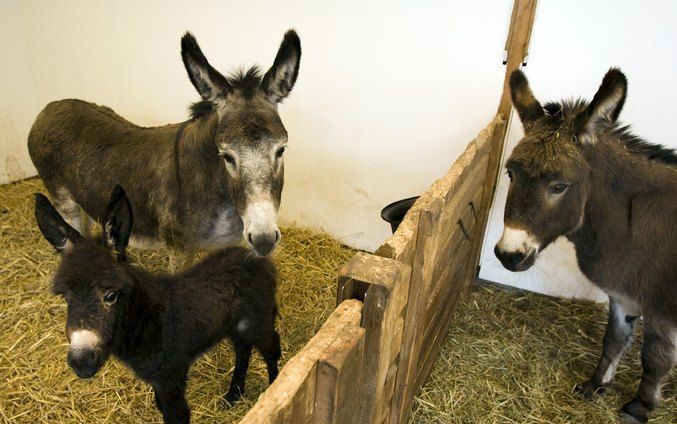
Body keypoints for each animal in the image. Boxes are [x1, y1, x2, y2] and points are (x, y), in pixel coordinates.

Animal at [35, 186, 278, 424]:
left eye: (111, 295)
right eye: (65, 298)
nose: (81, 362)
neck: (146, 319)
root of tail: (255, 258)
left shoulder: (170, 377)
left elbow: (177, 415)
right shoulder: (158, 380)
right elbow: (162, 407)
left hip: (258, 319)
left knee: (271, 348)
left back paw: (274, 388)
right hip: (236, 326)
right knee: (243, 349)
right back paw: (233, 395)